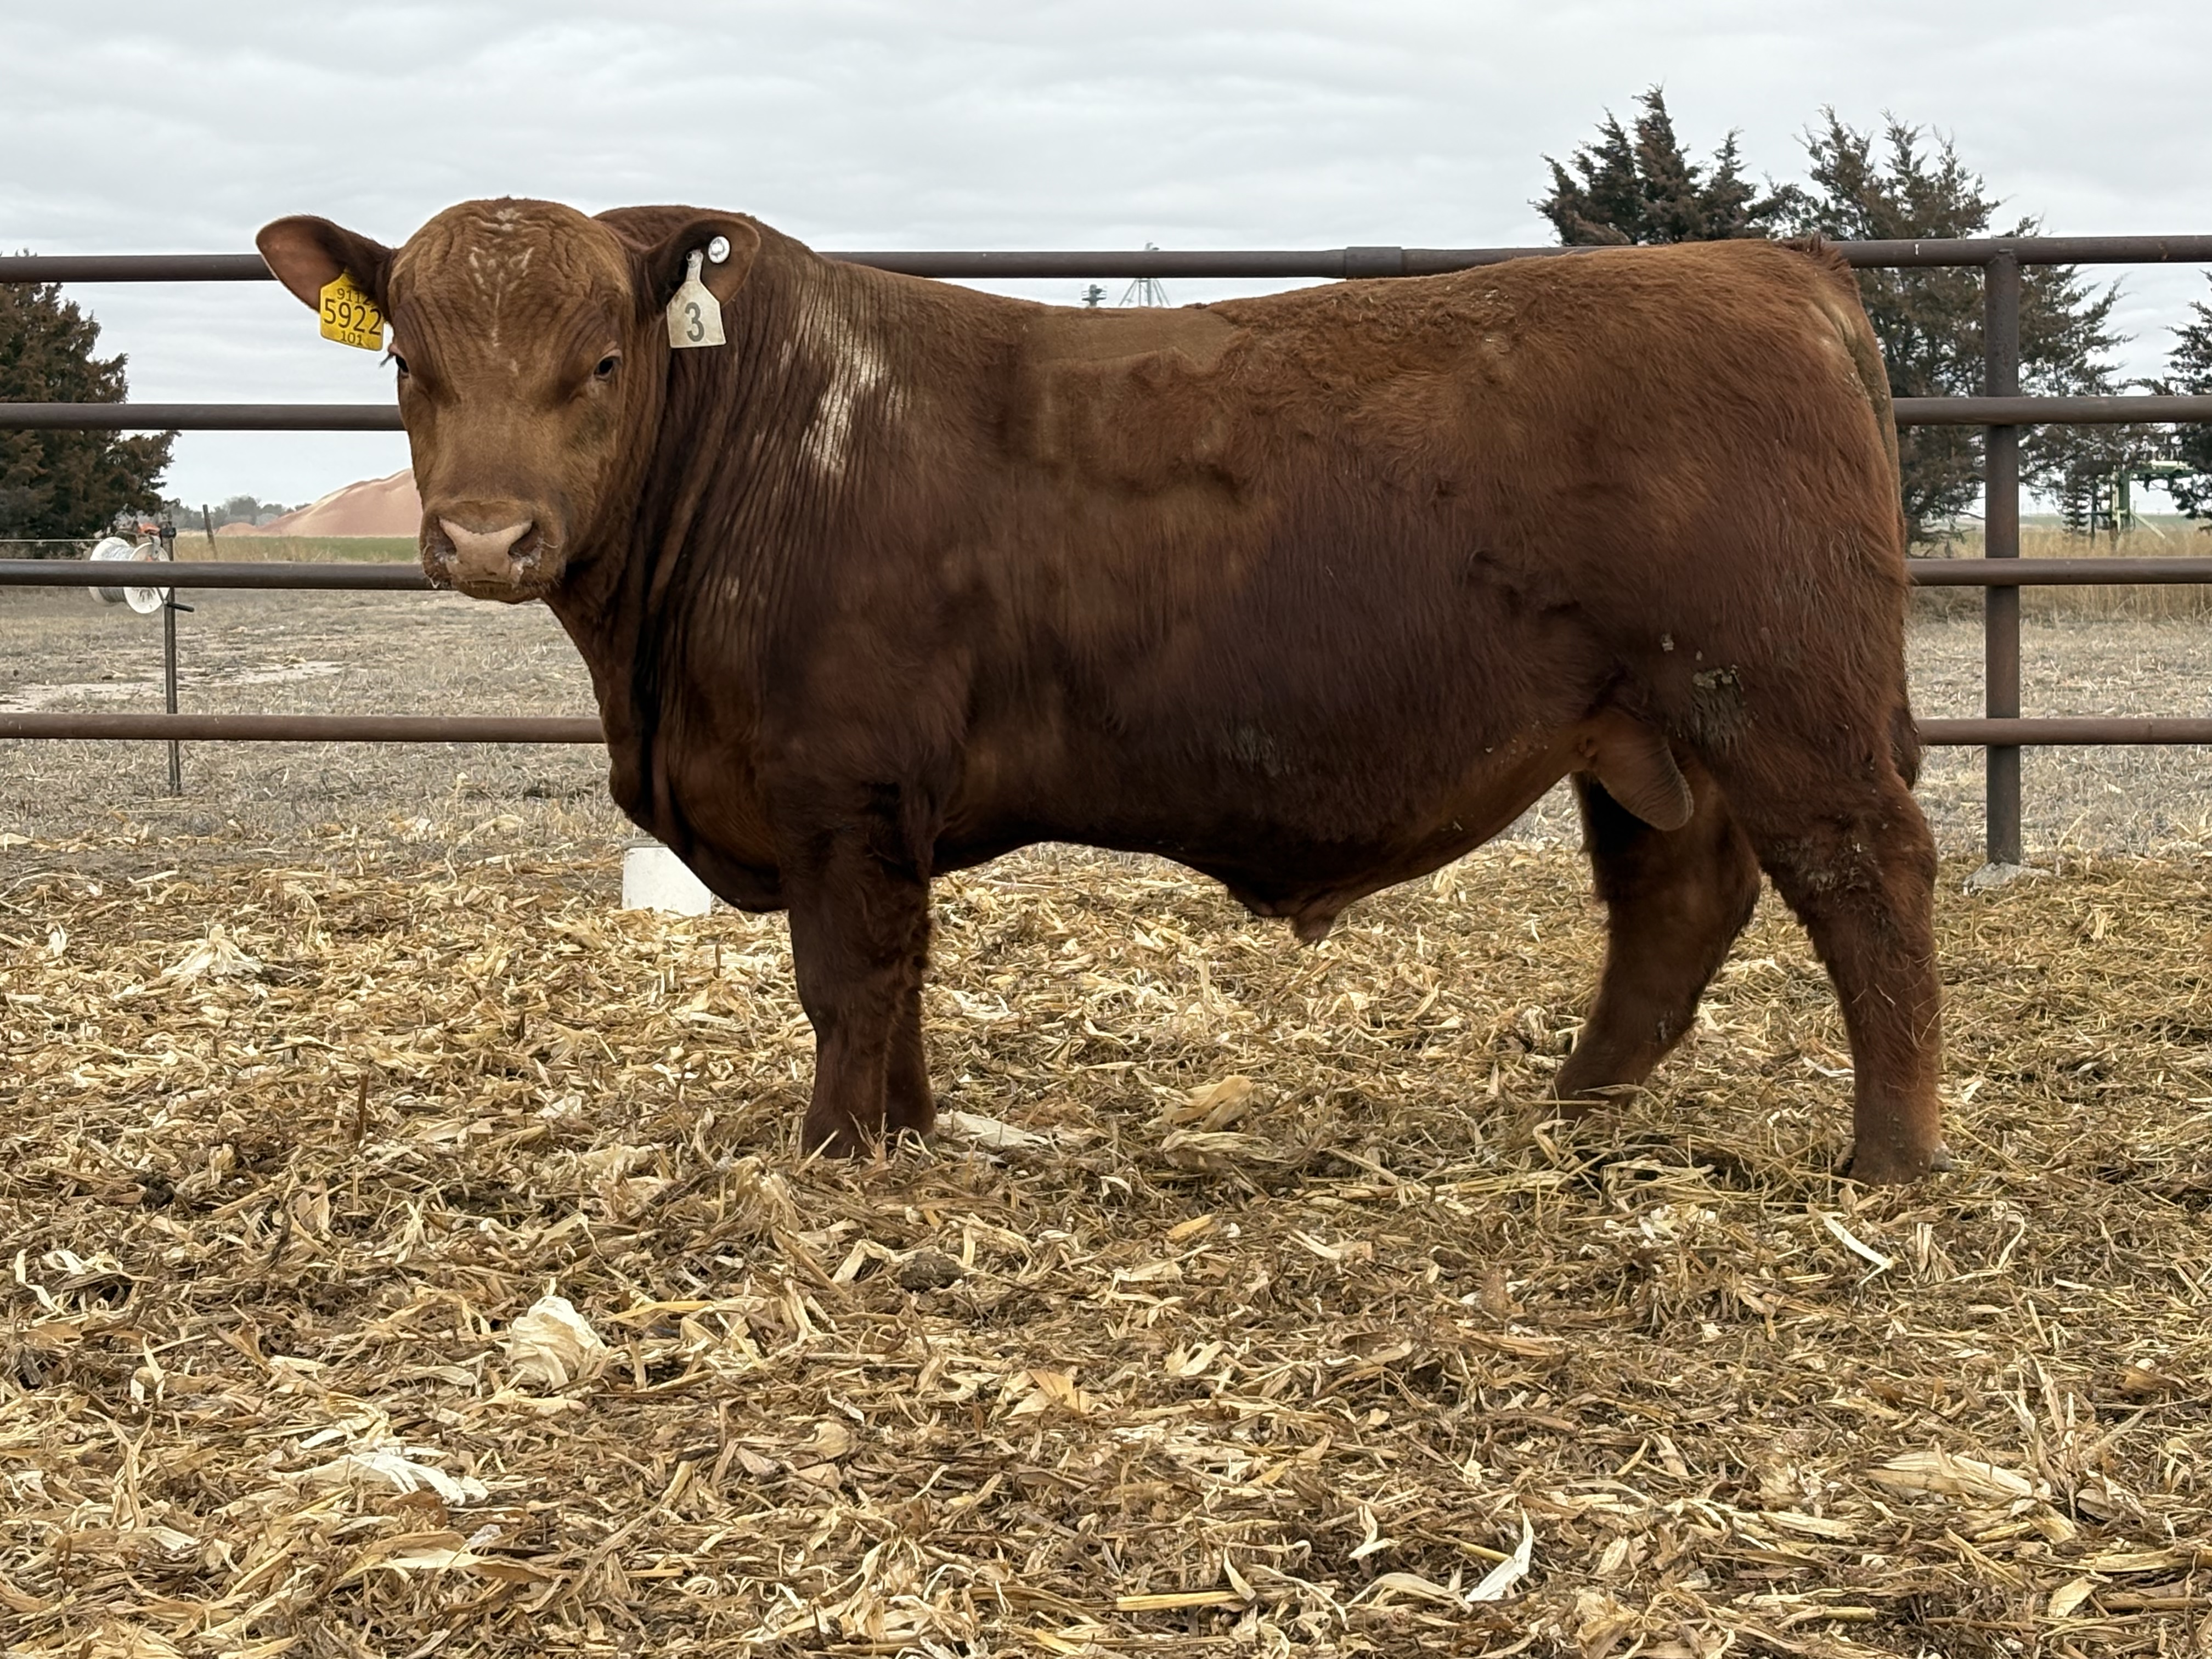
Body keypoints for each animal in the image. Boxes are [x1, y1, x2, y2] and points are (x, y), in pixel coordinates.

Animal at [256, 199, 1944, 1182]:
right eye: (405, 361)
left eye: (603, 360)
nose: (488, 537)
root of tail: (1775, 270)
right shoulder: (877, 809)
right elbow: (899, 973)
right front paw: (908, 1131)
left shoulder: (841, 782)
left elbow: (847, 974)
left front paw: (833, 1156)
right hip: (1641, 726)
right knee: (1676, 897)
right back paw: (1577, 1108)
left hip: (1784, 702)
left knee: (1870, 886)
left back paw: (1889, 1160)